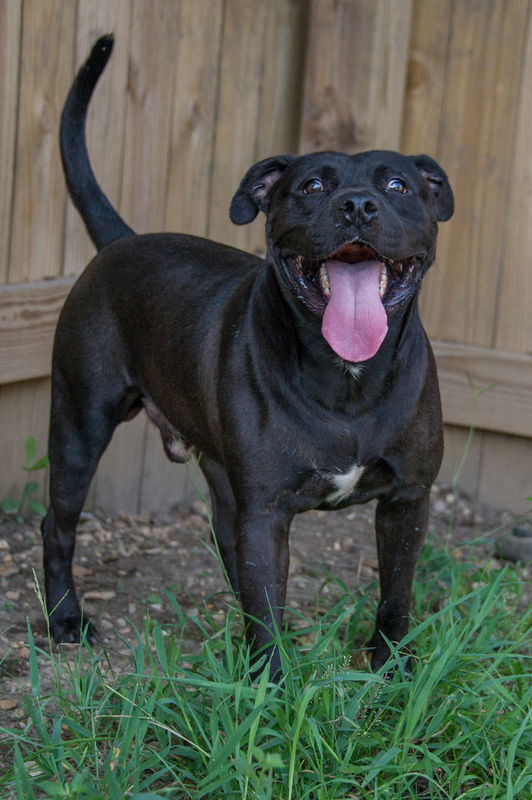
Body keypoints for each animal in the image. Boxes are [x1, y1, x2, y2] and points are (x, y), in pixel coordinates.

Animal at [43, 37, 456, 676]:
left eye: (397, 187)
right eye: (311, 187)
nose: (358, 205)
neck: (348, 381)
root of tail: (122, 241)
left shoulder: (408, 500)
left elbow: (395, 594)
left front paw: (393, 669)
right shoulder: (265, 510)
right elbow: (265, 608)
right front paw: (271, 685)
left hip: (218, 475)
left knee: (228, 545)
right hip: (79, 424)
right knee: (58, 524)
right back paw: (65, 617)